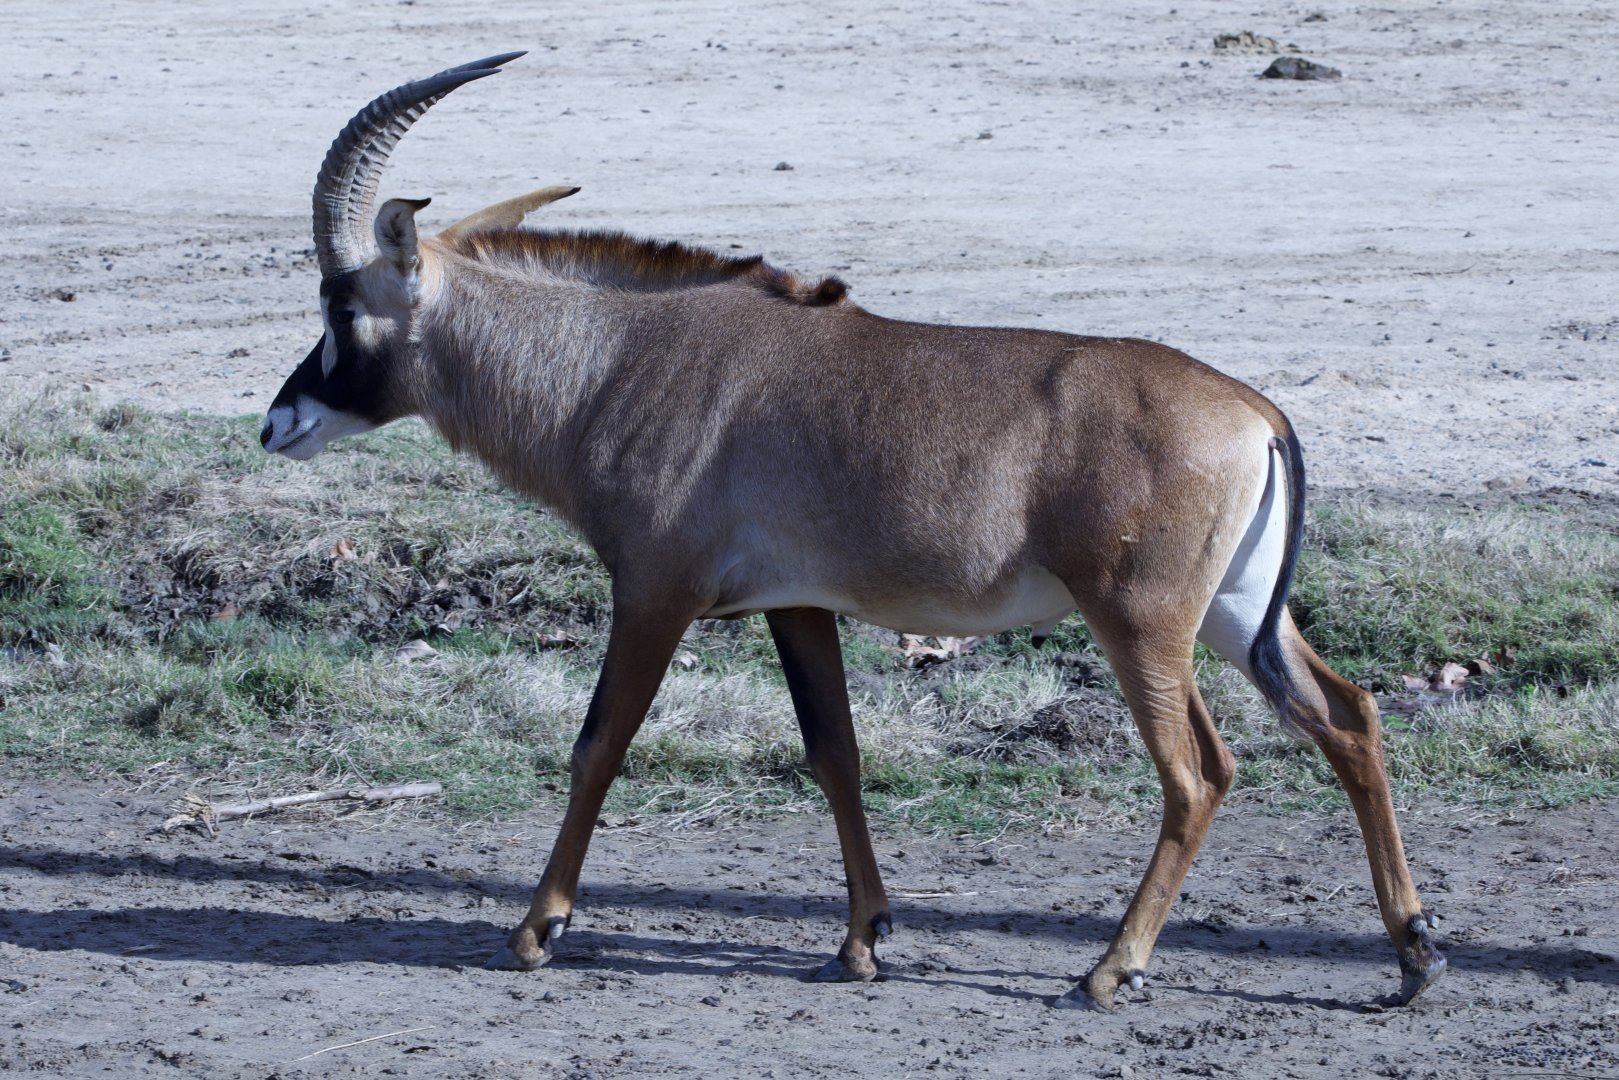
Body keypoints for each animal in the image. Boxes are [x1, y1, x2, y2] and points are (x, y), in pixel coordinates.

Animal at [261, 52, 1446, 1010]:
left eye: (339, 305)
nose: (278, 422)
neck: (614, 358)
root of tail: (1255, 413)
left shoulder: (654, 593)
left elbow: (601, 742)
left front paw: (535, 928)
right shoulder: (795, 605)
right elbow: (833, 752)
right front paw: (863, 940)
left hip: (1142, 626)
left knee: (1199, 773)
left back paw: (1112, 970)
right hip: (1238, 617)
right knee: (1347, 718)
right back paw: (1411, 956)